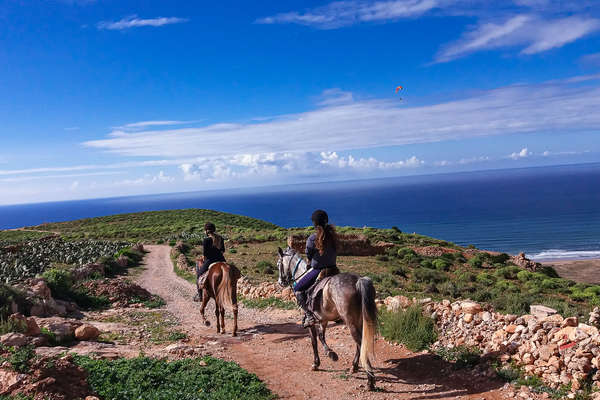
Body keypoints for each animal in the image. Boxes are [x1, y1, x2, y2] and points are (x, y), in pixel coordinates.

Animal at [278, 247, 380, 390]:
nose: (280, 282)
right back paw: (354, 367)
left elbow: (314, 341)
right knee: (359, 344)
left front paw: (319, 361)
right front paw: (330, 354)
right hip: (358, 321)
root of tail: (358, 280)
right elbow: (321, 336)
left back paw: (370, 381)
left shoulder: (311, 322)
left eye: (278, 264)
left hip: (351, 322)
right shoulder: (323, 320)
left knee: (360, 343)